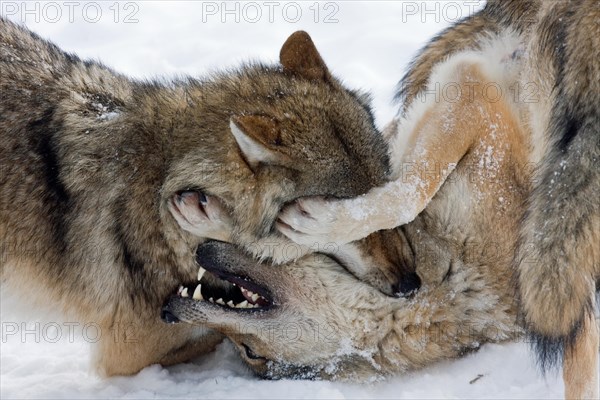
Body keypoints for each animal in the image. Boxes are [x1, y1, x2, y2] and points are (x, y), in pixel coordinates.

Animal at [0, 18, 390, 376]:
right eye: (336, 222)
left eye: (384, 202)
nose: (404, 284)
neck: (161, 191)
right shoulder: (127, 354)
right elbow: (222, 328)